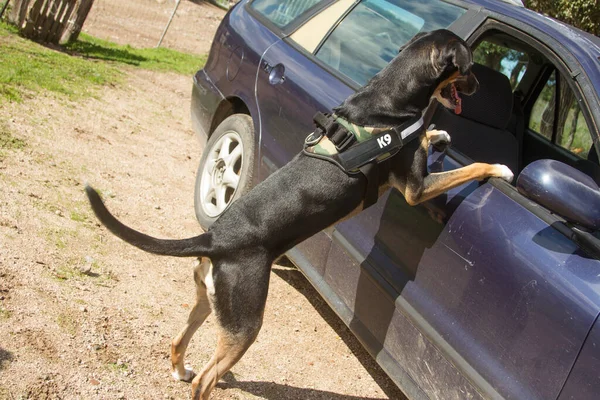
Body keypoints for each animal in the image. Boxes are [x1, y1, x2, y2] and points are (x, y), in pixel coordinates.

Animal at [86, 29, 512, 398]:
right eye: (470, 70)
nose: (478, 89)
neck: (388, 99)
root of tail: (214, 238)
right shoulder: (415, 189)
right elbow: (469, 169)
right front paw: (500, 168)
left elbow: (426, 133)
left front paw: (437, 134)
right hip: (245, 323)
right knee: (205, 381)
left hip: (209, 302)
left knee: (177, 342)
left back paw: (179, 369)